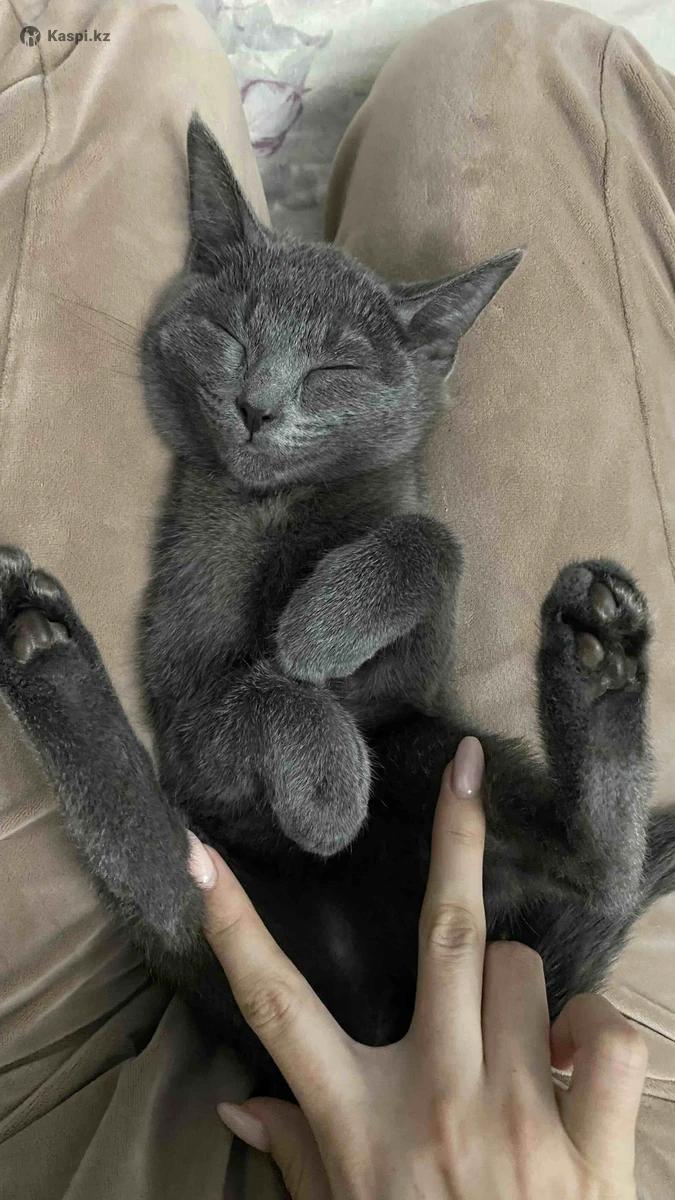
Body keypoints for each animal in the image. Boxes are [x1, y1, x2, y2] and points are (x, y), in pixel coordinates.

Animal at [1, 116, 674, 1092]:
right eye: (231, 333)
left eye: (332, 367)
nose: (256, 406)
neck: (284, 512)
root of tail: (367, 1013)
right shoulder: (189, 698)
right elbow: (261, 693)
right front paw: (323, 780)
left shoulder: (408, 671)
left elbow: (433, 538)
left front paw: (321, 627)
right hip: (218, 887)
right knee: (161, 877)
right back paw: (38, 639)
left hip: (433, 750)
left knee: (598, 871)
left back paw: (601, 650)